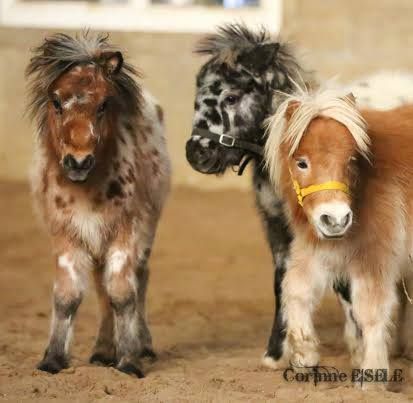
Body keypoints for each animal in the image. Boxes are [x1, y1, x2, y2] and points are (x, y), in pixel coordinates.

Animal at [25, 32, 171, 378]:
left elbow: (123, 293)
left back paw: (143, 345)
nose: (78, 161)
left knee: (139, 278)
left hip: (146, 229)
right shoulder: (67, 233)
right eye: (56, 101)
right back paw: (103, 351)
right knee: (101, 287)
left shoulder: (126, 230)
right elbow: (68, 296)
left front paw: (129, 361)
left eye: (104, 104)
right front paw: (53, 359)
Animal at [264, 86, 412, 388]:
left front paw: (372, 377)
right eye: (302, 162)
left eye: (351, 160)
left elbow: (370, 310)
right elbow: (295, 289)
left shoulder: (374, 255)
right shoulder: (317, 246)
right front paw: (305, 354)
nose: (336, 219)